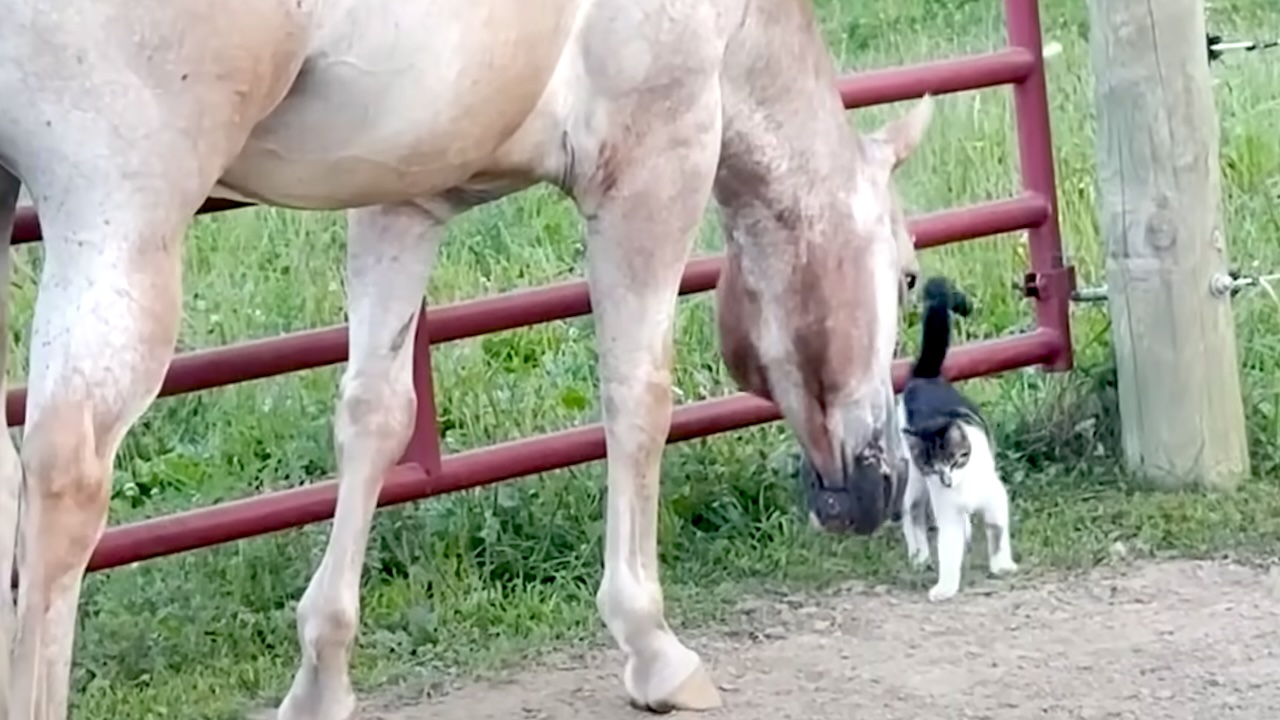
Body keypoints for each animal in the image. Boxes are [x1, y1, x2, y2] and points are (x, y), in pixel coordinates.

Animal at [0, 0, 936, 712]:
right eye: (908, 274)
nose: (887, 483)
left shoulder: (403, 198)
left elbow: (376, 417)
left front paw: (322, 679)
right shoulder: (654, 164)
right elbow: (638, 397)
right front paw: (654, 648)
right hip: (122, 213)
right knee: (64, 480)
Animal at [901, 274, 1018, 599]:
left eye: (955, 460)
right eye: (934, 465)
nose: (945, 480)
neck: (963, 488)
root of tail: (925, 376)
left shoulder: (995, 496)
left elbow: (998, 532)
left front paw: (1002, 566)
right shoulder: (946, 512)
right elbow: (948, 549)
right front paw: (945, 586)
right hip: (914, 479)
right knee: (910, 511)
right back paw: (919, 556)